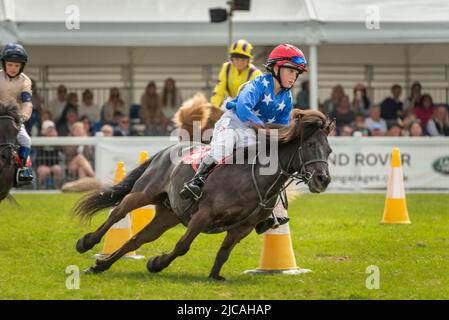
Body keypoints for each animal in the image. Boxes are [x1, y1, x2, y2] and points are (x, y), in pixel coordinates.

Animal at [72, 109, 332, 278]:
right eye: (309, 145)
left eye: (329, 150)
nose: (323, 180)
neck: (253, 179)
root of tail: (167, 150)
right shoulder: (203, 215)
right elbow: (182, 246)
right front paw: (157, 263)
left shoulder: (242, 228)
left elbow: (224, 252)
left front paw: (214, 276)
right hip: (144, 193)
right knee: (118, 211)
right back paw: (87, 242)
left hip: (168, 214)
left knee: (137, 239)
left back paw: (101, 265)